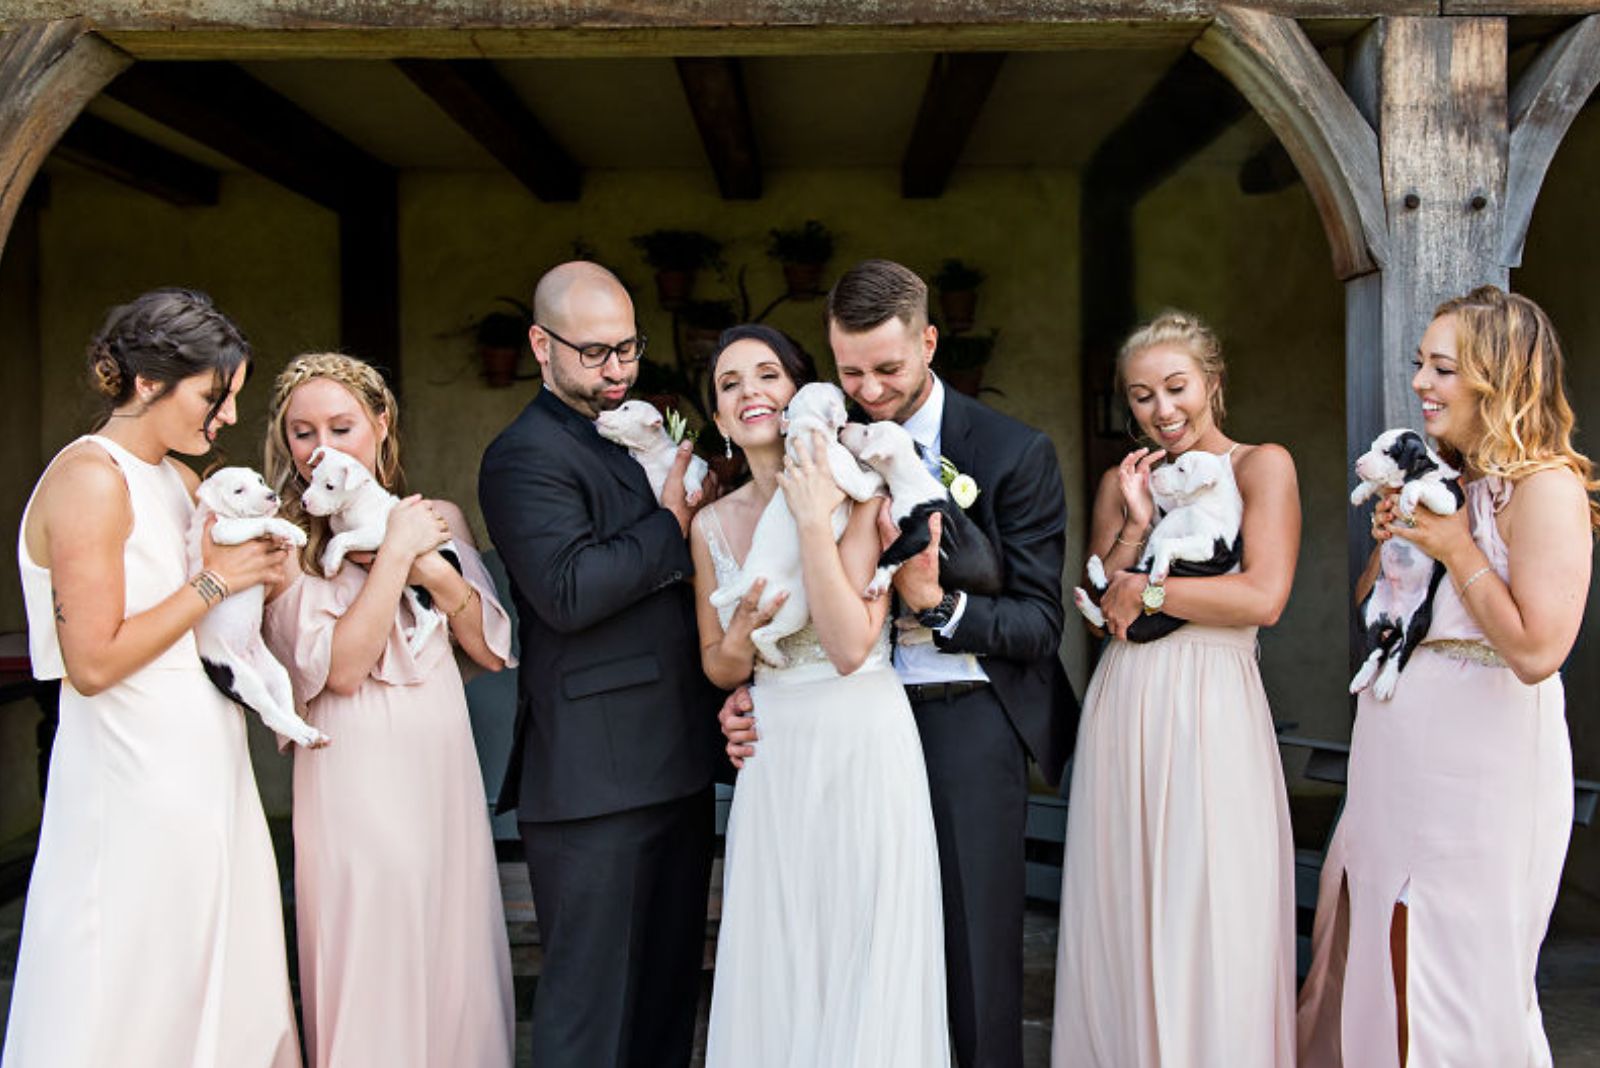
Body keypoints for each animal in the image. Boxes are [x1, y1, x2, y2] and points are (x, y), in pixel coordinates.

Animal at [184, 466, 328, 751]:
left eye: (260, 481)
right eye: (238, 490)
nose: (271, 495)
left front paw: (290, 532)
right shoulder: (222, 530)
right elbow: (254, 522)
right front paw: (284, 529)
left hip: (277, 674)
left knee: (284, 709)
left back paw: (307, 731)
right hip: (243, 679)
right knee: (271, 715)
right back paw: (304, 735)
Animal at [838, 415, 998, 601]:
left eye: (866, 433)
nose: (843, 427)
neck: (911, 479)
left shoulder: (919, 531)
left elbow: (889, 553)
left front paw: (877, 583)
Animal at [1075, 447, 1235, 642]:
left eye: (1181, 469)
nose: (1153, 475)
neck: (1203, 502)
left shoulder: (1206, 544)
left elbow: (1166, 543)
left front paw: (1158, 572)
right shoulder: (1164, 519)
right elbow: (1155, 513)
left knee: (1102, 602)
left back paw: (1093, 571)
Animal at [1350, 425, 1465, 700]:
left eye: (1386, 452)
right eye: (1372, 447)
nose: (1358, 463)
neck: (1424, 468)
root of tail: (1394, 619)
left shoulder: (1447, 498)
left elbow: (1419, 486)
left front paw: (1408, 497)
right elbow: (1377, 483)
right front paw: (1360, 492)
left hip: (1418, 621)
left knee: (1400, 653)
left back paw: (1385, 683)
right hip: (1367, 610)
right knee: (1376, 651)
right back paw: (1361, 678)